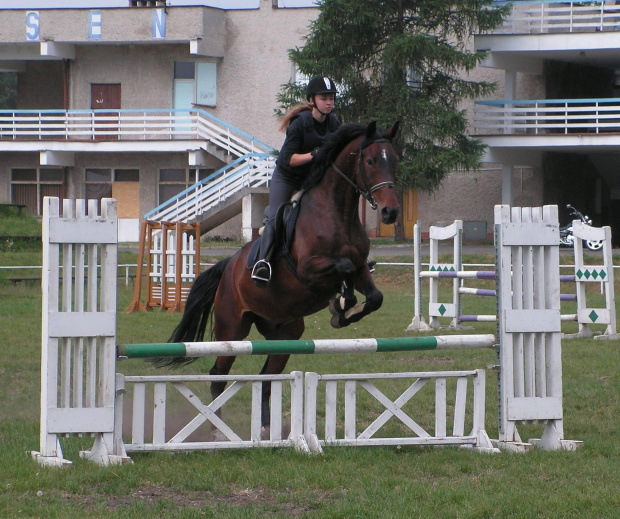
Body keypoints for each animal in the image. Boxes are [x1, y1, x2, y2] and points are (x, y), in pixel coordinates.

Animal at [159, 120, 402, 432]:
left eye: (394, 160)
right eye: (370, 161)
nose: (390, 211)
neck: (339, 213)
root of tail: (228, 267)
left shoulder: (361, 268)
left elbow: (374, 296)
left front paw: (343, 312)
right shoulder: (309, 269)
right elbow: (344, 268)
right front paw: (342, 303)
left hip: (285, 333)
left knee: (266, 379)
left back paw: (265, 430)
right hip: (232, 330)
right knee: (218, 376)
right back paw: (216, 429)